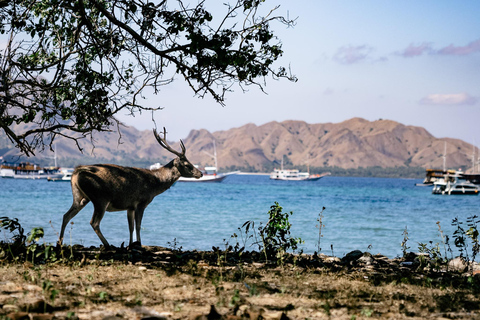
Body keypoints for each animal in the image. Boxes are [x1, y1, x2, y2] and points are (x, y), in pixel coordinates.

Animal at [57, 129, 202, 249]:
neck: (155, 184)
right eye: (187, 164)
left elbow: (130, 227)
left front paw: (131, 244)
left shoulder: (129, 206)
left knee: (66, 215)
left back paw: (59, 243)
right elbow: (138, 226)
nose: (200, 173)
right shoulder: (141, 202)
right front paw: (140, 244)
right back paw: (108, 244)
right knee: (94, 222)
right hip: (100, 198)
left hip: (80, 197)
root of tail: (76, 173)